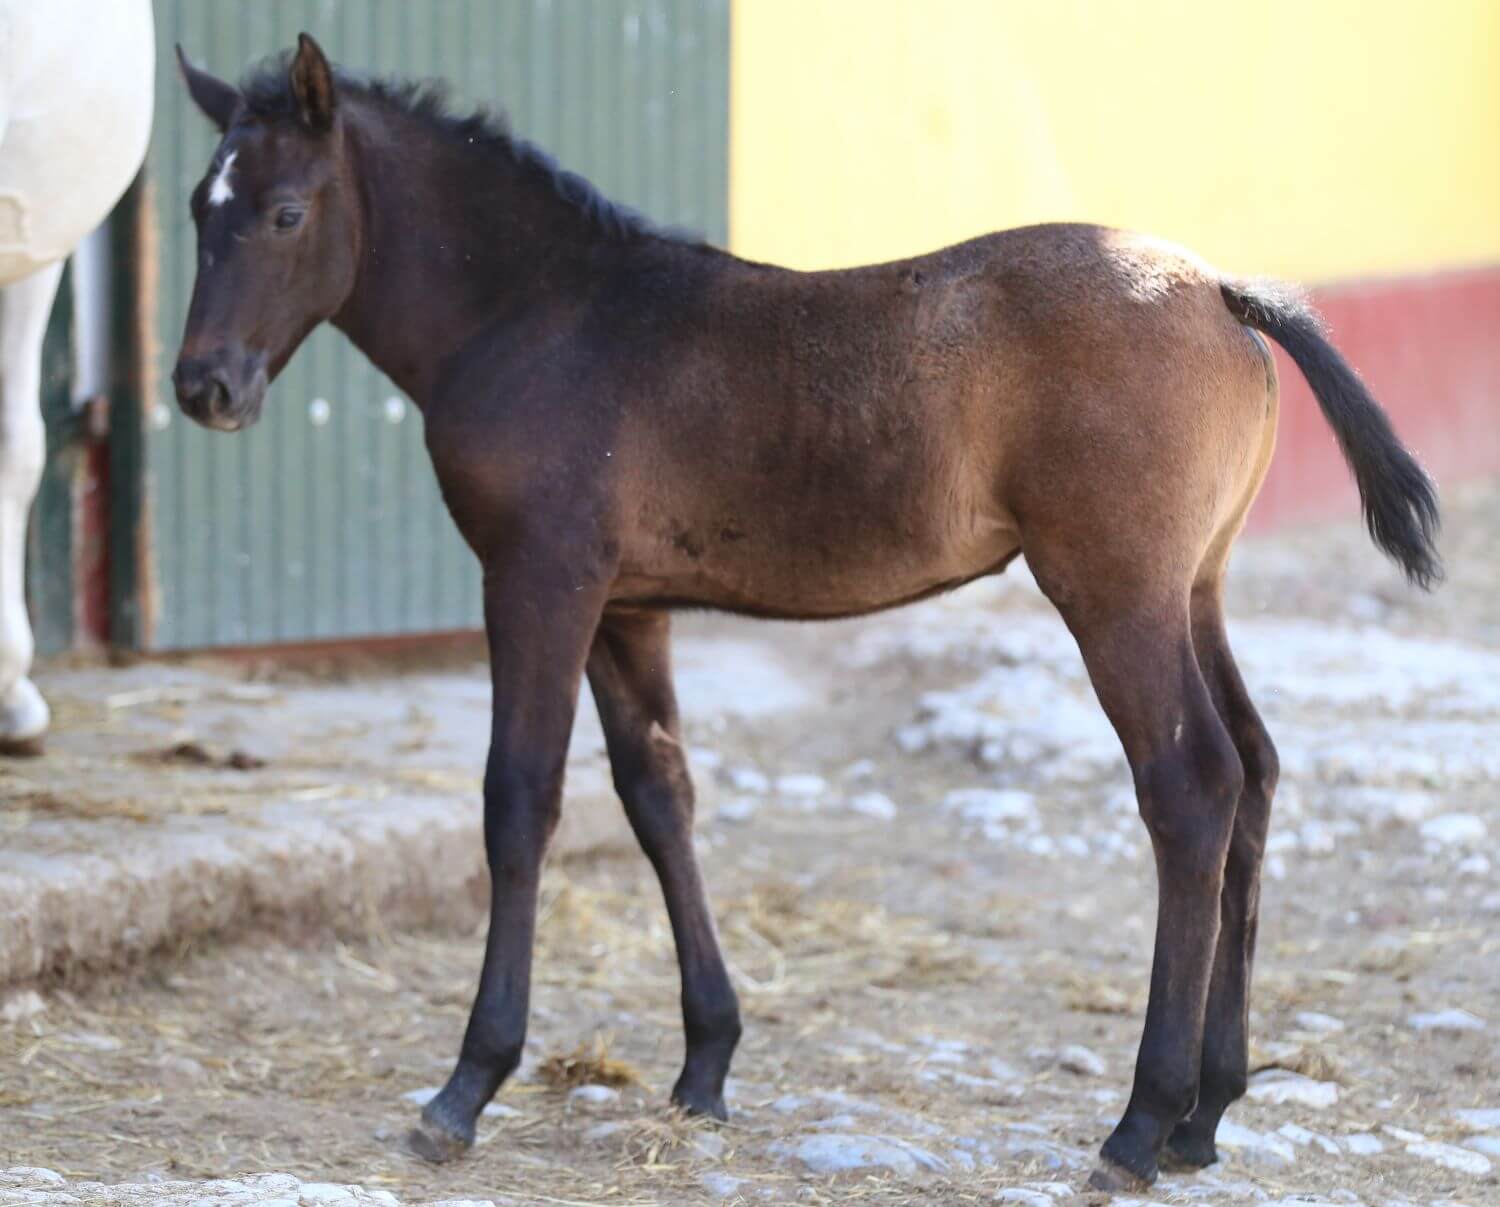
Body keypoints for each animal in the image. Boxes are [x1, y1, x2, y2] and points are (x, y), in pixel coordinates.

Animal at [171, 36, 1439, 1192]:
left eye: (284, 212)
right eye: (196, 211)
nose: (202, 387)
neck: (544, 313)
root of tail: (1224, 290)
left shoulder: (540, 580)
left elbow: (519, 800)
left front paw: (466, 1087)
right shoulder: (629, 606)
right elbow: (659, 794)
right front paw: (706, 1064)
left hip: (1114, 592)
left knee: (1192, 787)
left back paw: (1139, 1124)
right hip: (1194, 589)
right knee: (1256, 771)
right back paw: (1206, 1115)